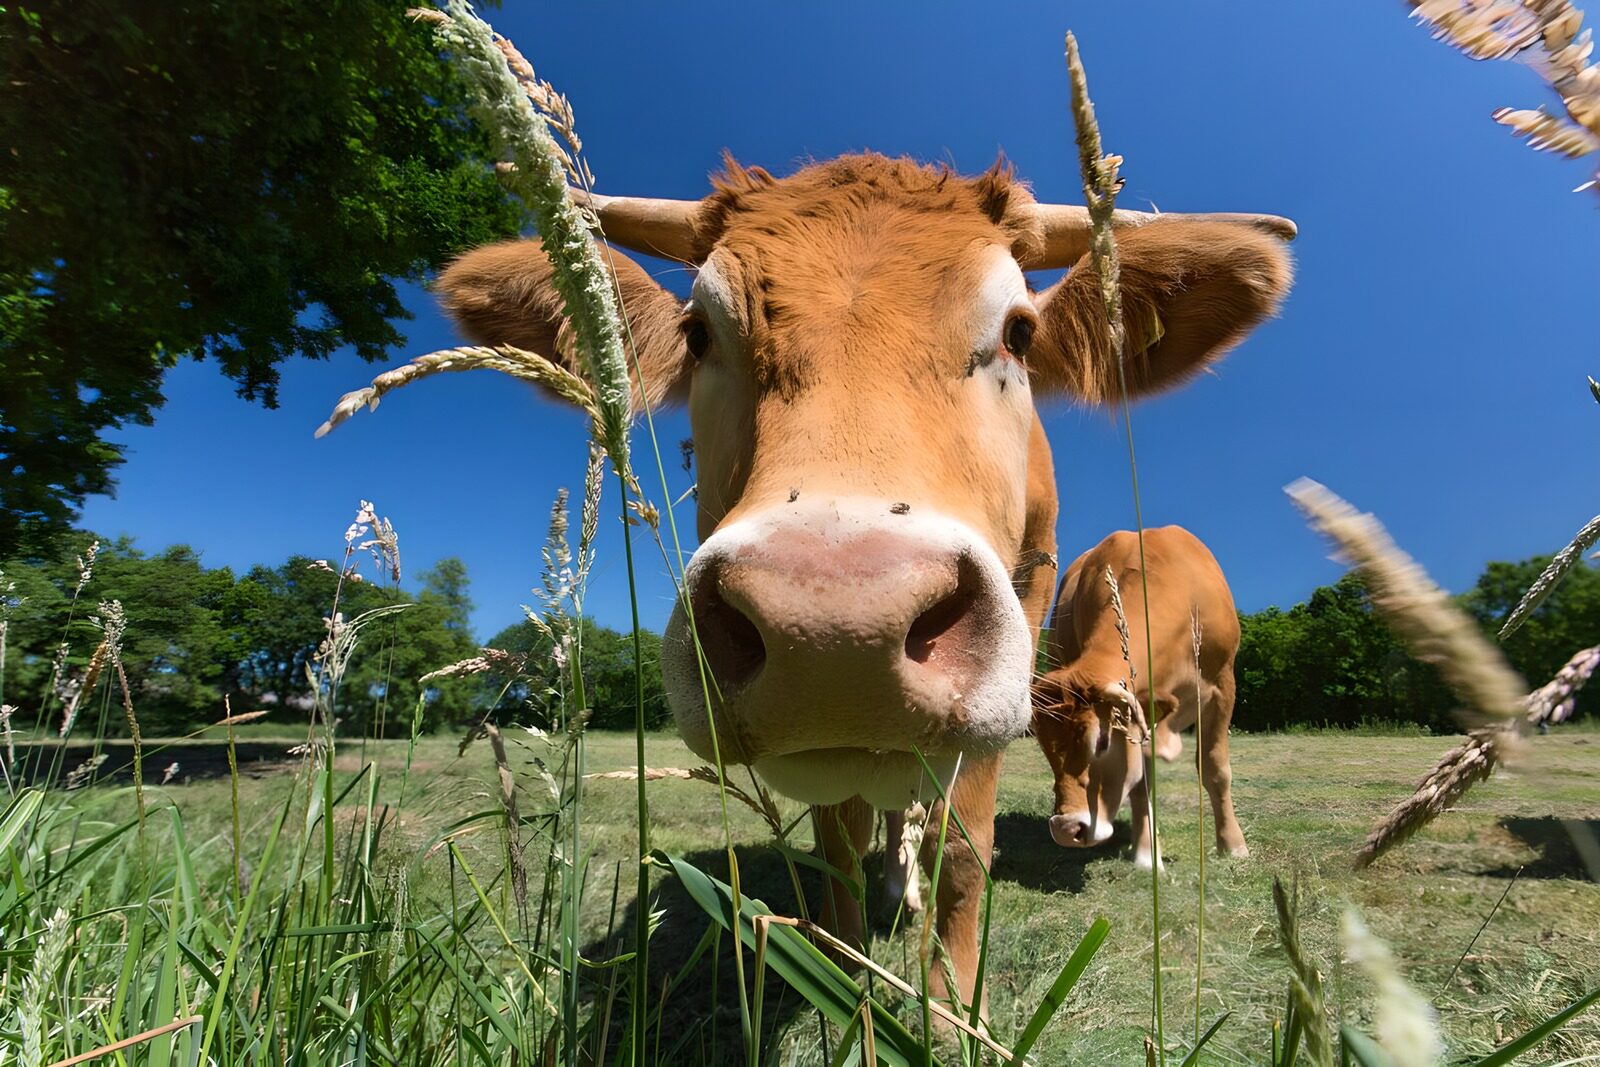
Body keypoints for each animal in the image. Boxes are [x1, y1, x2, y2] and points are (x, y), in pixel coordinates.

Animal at [1031, 525, 1247, 870]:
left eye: (1102, 742)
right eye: (1045, 749)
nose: (1066, 829)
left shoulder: (1223, 687)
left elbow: (1215, 769)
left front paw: (1233, 846)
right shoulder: (1139, 723)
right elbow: (1141, 780)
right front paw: (1148, 855)